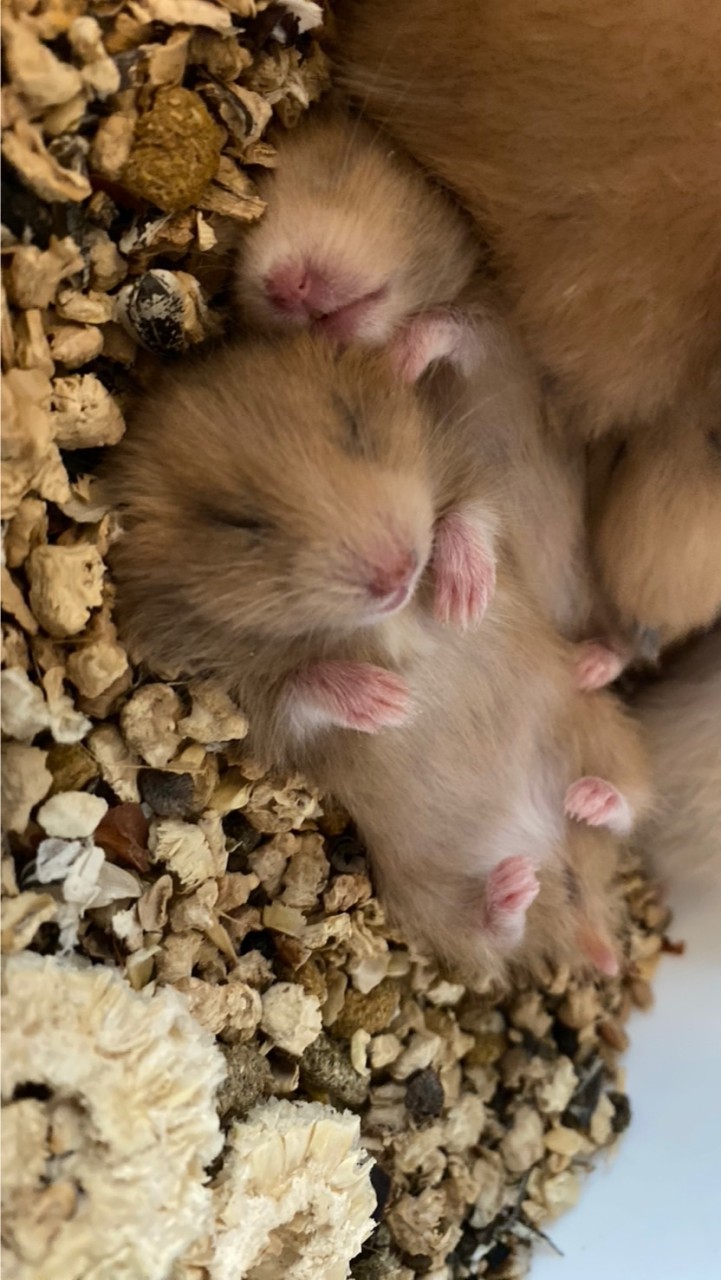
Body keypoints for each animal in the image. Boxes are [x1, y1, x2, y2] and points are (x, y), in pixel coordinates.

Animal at [109, 332, 651, 984]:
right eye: (238, 523)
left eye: (355, 429)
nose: (398, 572)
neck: (388, 617)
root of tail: (574, 892)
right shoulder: (249, 701)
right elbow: (301, 688)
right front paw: (392, 702)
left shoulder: (472, 480)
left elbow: (469, 515)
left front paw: (463, 601)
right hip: (426, 901)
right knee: (493, 939)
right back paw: (515, 887)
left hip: (593, 725)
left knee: (636, 798)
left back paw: (588, 799)